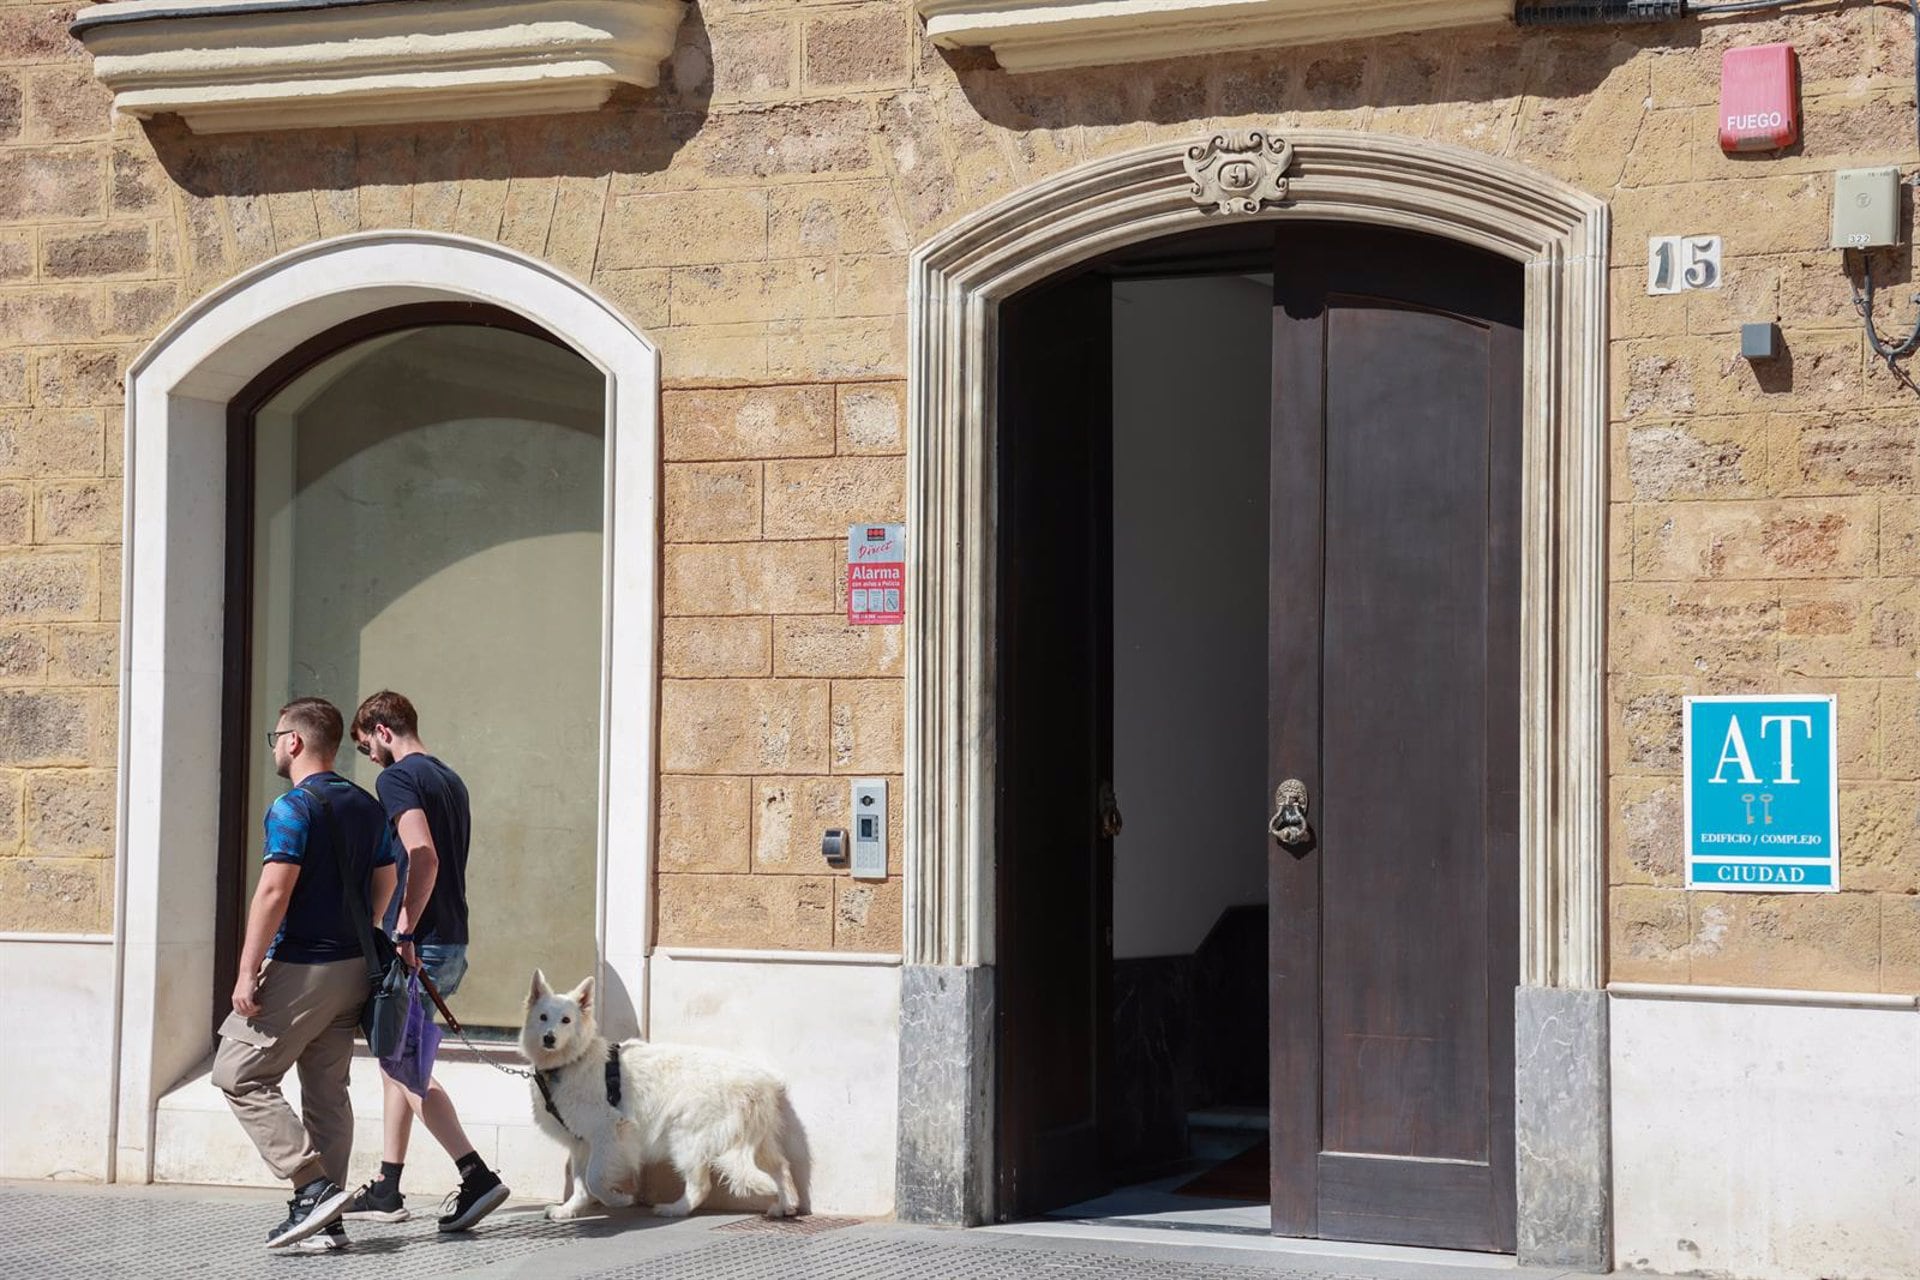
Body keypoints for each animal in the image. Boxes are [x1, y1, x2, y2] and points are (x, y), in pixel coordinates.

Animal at [514, 971, 798, 1220]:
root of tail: (758, 1083)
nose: (549, 1038)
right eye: (542, 1017)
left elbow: (594, 1180)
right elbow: (581, 1184)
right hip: (759, 1142)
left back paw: (674, 1210)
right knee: (782, 1169)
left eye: (566, 1020)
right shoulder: (582, 1141)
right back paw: (785, 1205)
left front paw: (618, 1199)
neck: (572, 1061)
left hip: (685, 1139)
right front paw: (568, 1210)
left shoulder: (608, 1133)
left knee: (700, 1187)